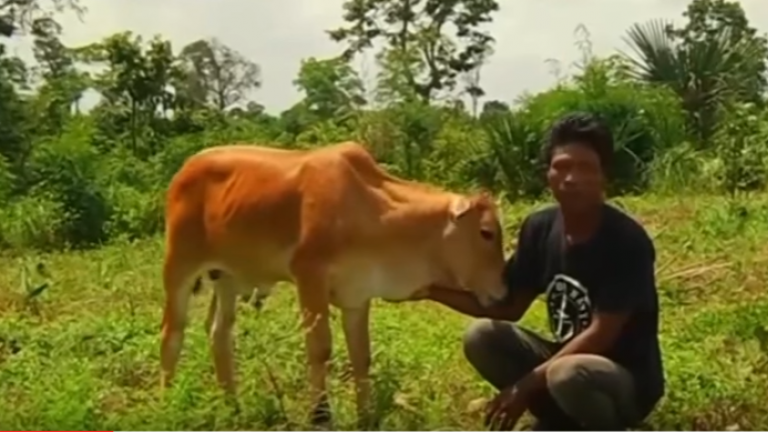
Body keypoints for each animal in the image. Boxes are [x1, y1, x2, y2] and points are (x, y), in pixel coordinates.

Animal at [160, 143, 510, 428]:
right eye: (486, 232)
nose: (503, 291)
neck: (371, 210)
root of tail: (185, 169)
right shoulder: (309, 278)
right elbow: (320, 349)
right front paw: (320, 416)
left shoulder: (357, 295)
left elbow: (361, 356)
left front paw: (366, 416)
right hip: (178, 265)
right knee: (171, 334)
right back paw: (168, 402)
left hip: (227, 277)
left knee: (219, 333)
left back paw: (232, 406)